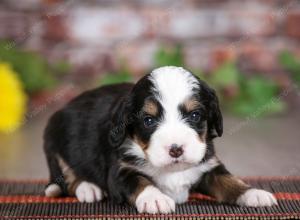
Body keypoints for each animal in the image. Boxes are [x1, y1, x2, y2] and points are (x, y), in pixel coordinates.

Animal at [43, 65, 278, 213]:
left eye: (195, 115)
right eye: (148, 120)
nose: (176, 149)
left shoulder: (209, 165)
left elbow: (230, 181)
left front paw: (253, 193)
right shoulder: (120, 170)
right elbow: (139, 181)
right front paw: (155, 198)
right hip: (54, 143)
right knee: (67, 178)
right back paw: (88, 188)